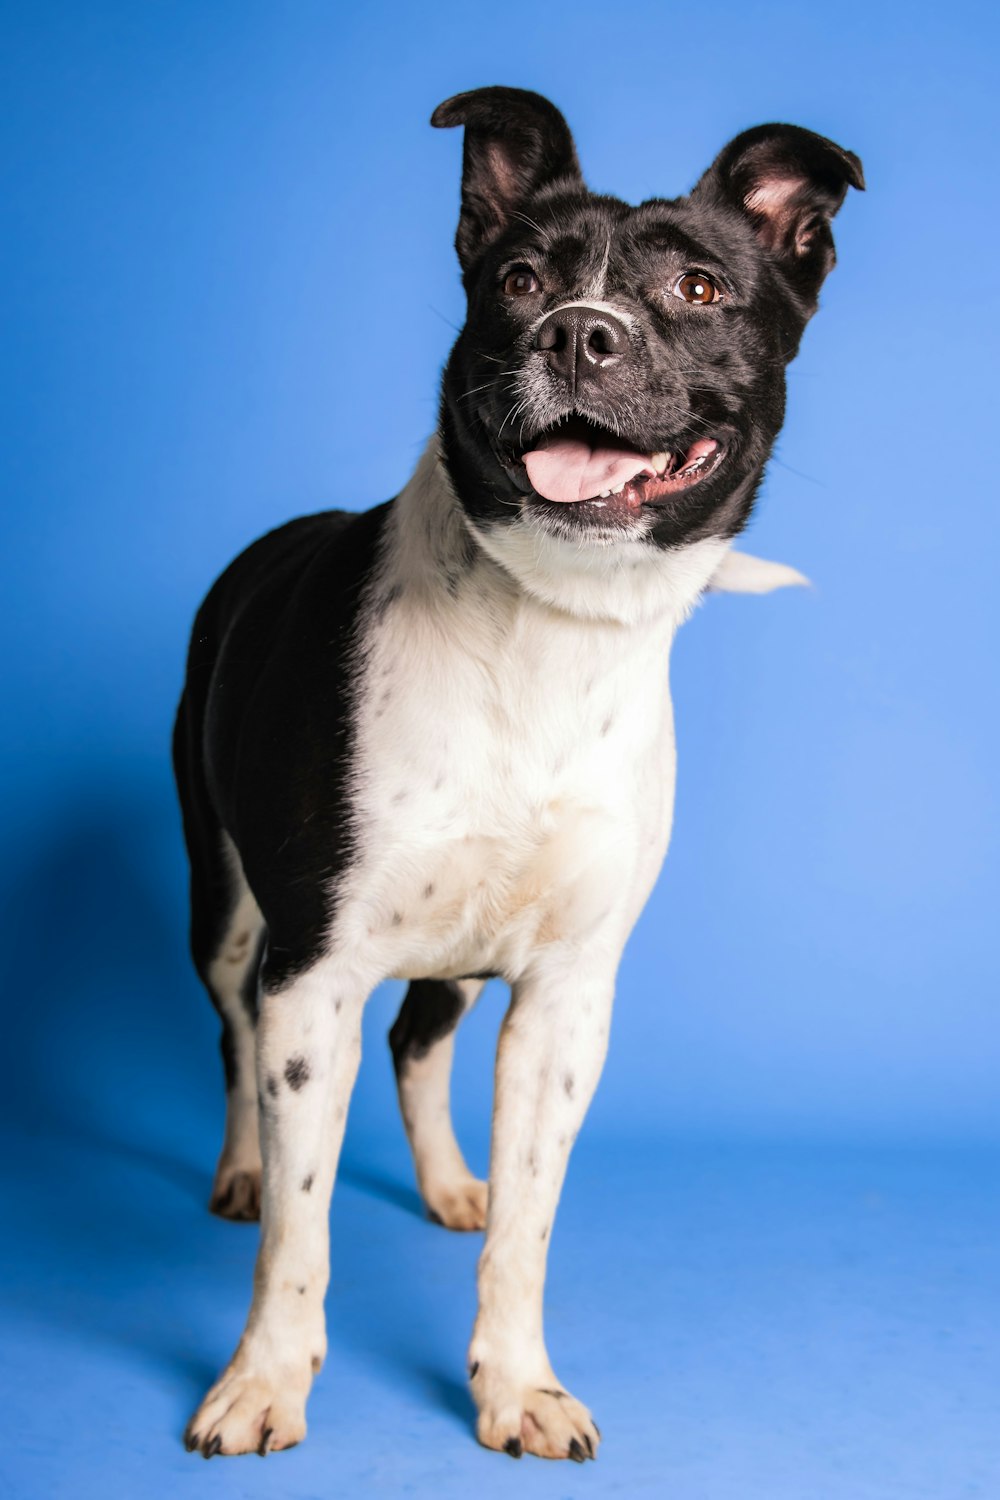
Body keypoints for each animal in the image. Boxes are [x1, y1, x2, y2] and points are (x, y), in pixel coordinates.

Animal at [172, 85, 863, 1464]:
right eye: (519, 279)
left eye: (699, 289)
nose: (580, 335)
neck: (548, 627)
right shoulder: (312, 977)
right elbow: (301, 1224)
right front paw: (264, 1380)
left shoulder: (564, 1002)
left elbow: (528, 1228)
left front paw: (516, 1385)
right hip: (227, 909)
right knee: (234, 1034)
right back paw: (240, 1169)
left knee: (419, 1039)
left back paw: (446, 1182)